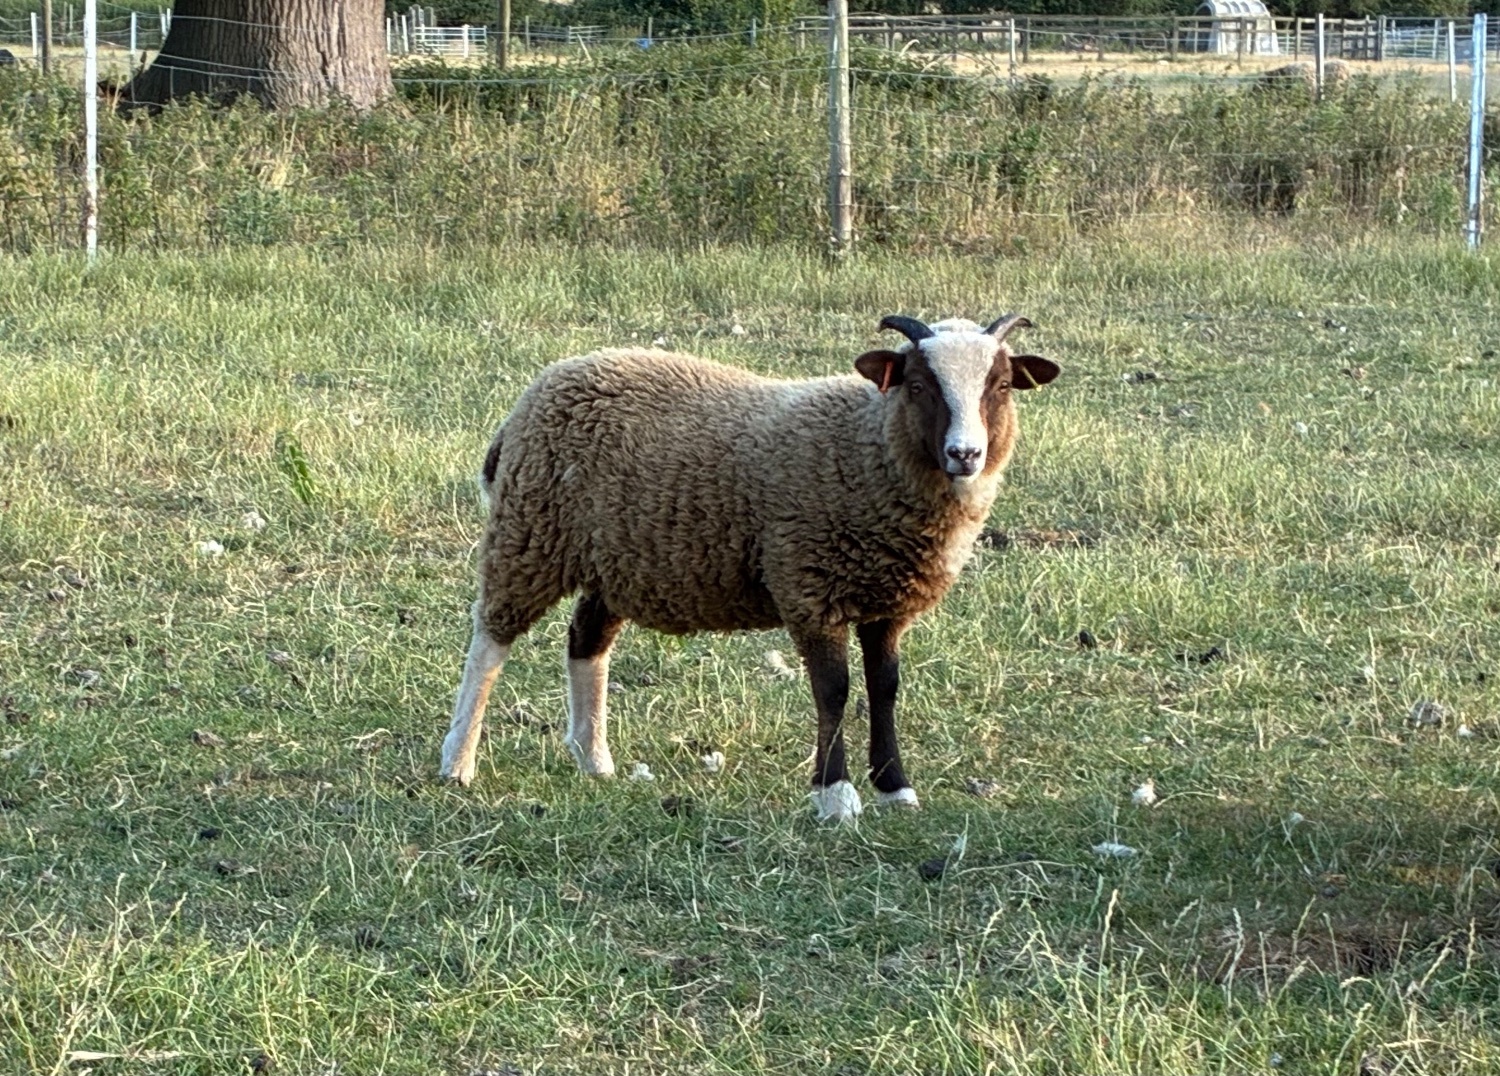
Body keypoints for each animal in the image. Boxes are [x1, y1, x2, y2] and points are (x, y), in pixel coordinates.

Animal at [440, 315, 1060, 822]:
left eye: (1000, 386)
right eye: (918, 385)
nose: (965, 455)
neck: (867, 445)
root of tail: (541, 389)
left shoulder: (888, 602)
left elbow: (885, 688)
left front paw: (895, 788)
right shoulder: (810, 586)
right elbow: (834, 692)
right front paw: (835, 795)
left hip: (613, 560)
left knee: (585, 642)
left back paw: (594, 759)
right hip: (529, 533)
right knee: (489, 643)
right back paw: (457, 762)